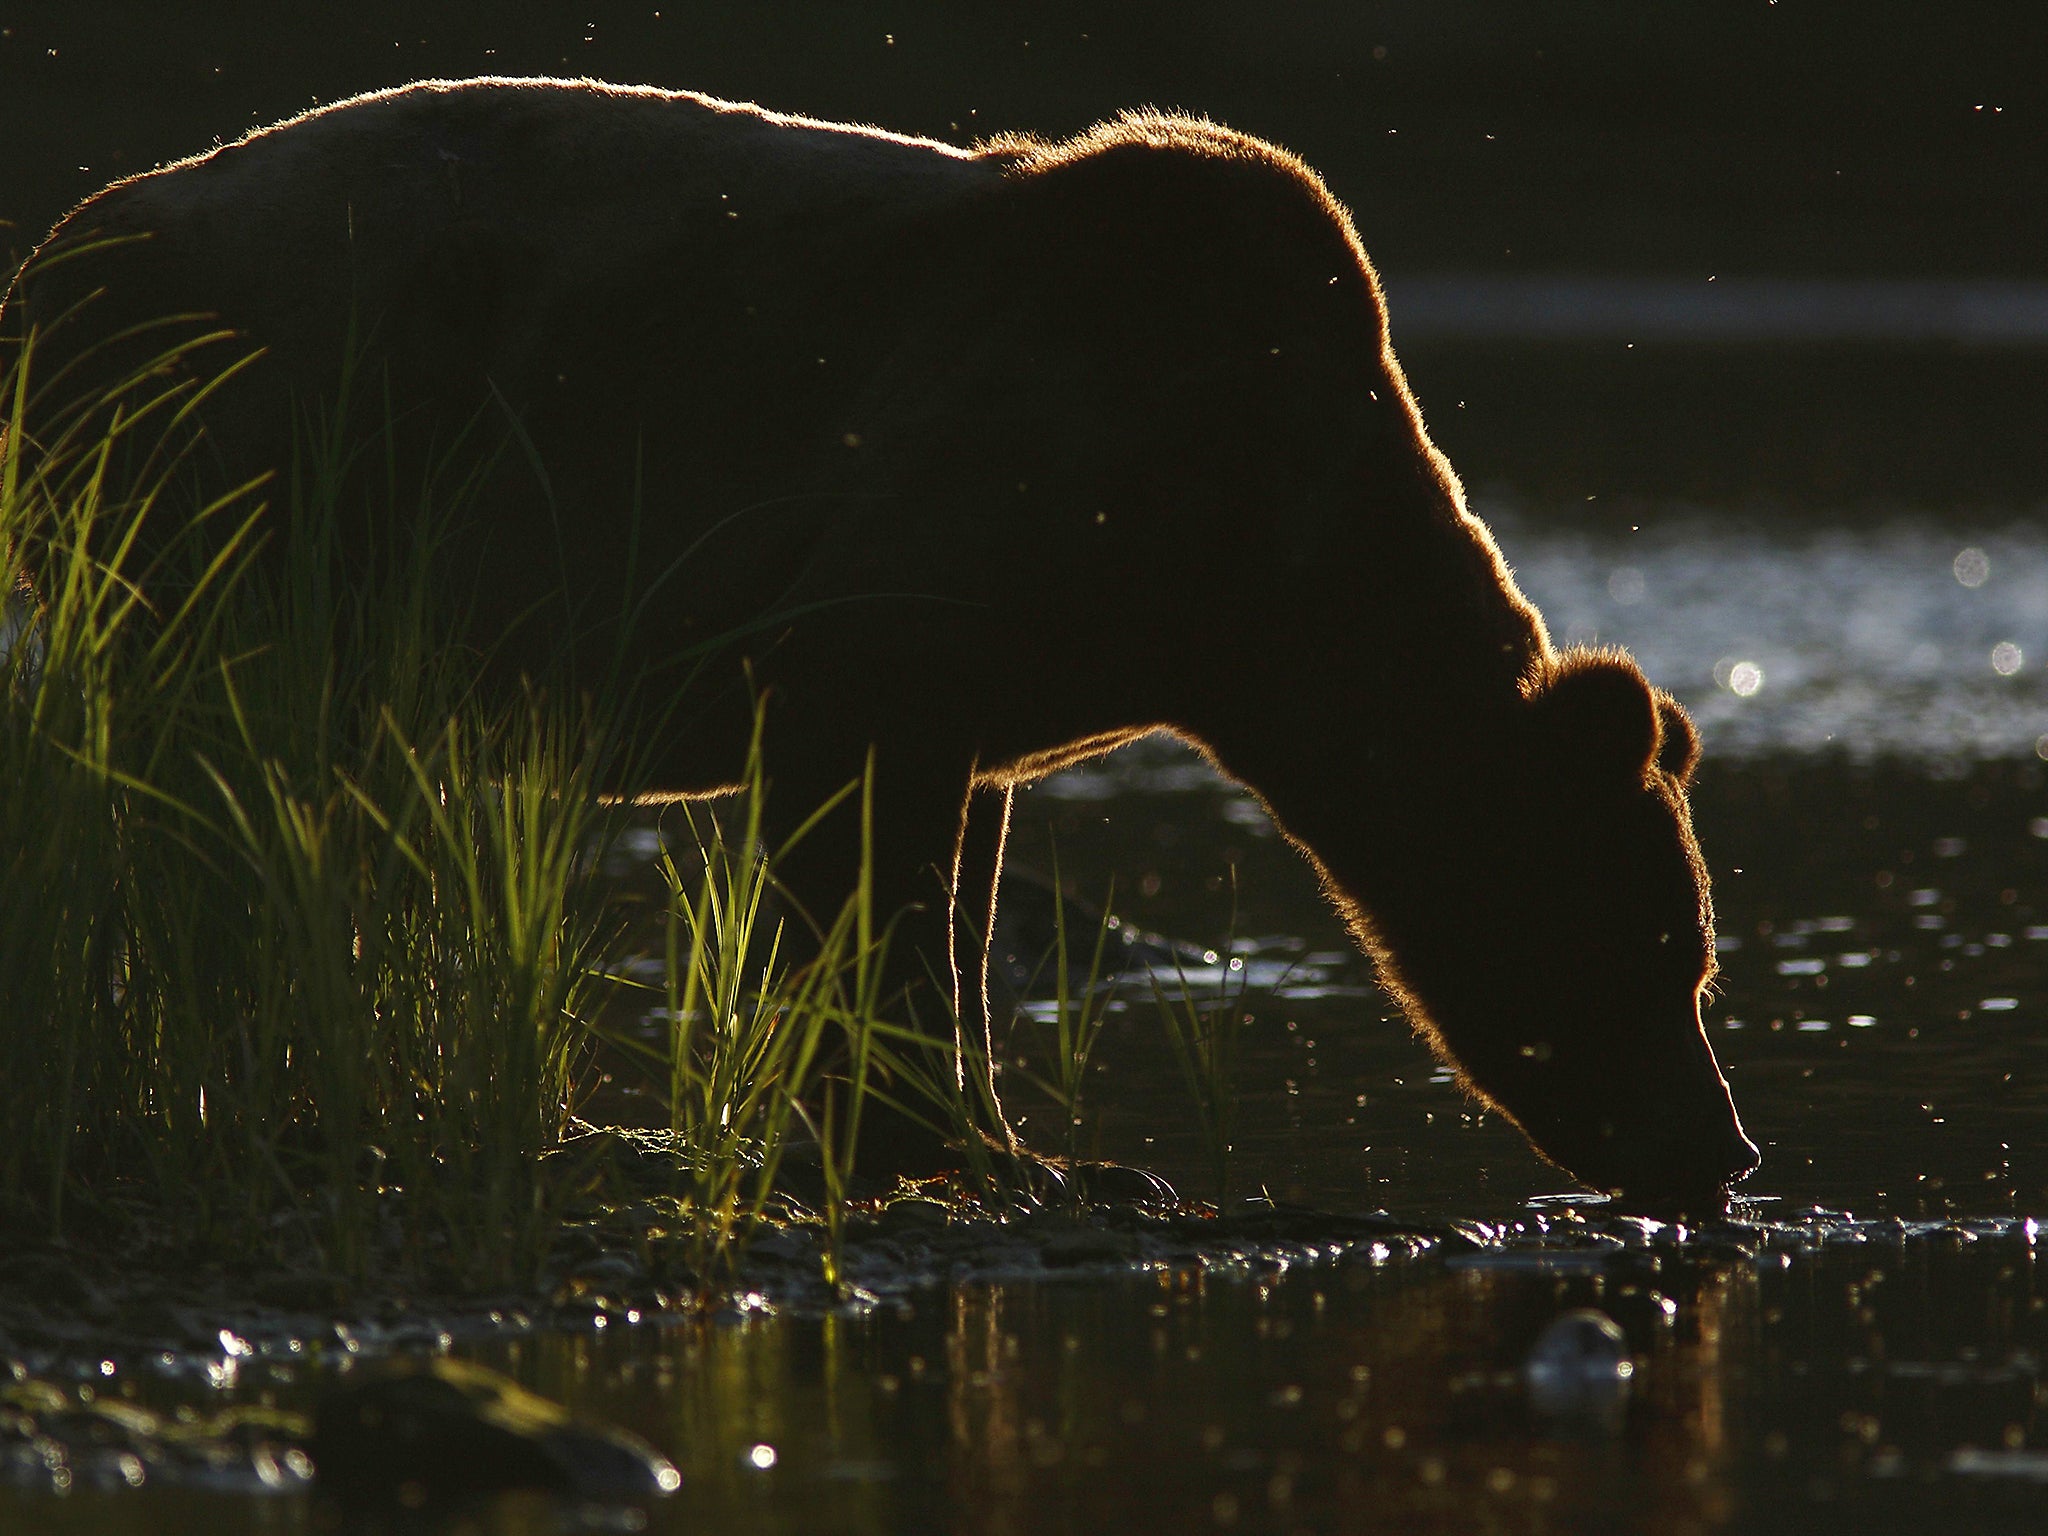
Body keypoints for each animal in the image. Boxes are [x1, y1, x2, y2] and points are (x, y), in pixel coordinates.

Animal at [4, 78, 1761, 1212]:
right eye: (1661, 955)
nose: (1721, 1149)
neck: (1253, 575)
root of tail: (49, 257)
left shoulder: (1017, 666)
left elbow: (957, 876)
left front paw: (997, 1131)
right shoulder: (945, 524)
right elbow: (863, 831)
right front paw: (945, 1137)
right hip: (251, 469)